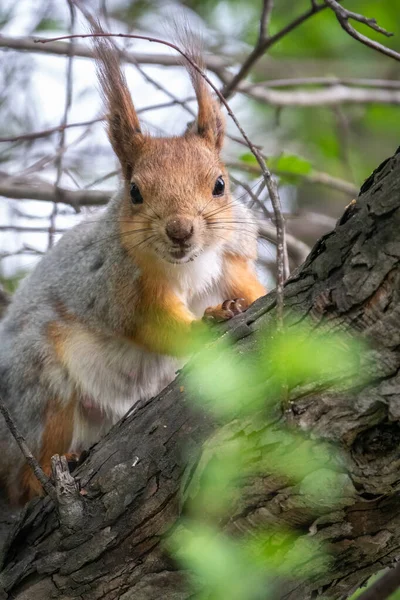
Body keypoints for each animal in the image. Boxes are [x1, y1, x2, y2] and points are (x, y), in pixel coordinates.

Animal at [0, 30, 266, 504]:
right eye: (135, 192)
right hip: (42, 386)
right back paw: (54, 469)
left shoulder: (229, 260)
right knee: (33, 468)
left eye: (220, 184)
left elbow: (252, 290)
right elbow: (155, 325)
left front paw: (241, 303)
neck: (187, 264)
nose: (180, 230)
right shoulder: (121, 286)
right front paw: (213, 318)